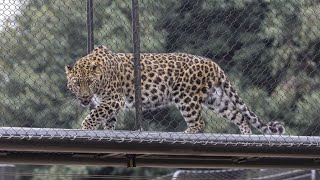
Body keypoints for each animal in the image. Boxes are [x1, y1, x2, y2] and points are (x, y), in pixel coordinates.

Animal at [65, 45, 284, 134]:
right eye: (77, 83)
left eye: (89, 82)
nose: (84, 97)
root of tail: (213, 64)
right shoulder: (109, 103)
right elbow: (107, 120)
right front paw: (106, 130)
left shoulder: (113, 99)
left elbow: (95, 114)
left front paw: (85, 127)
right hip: (216, 99)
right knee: (238, 114)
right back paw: (246, 134)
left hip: (185, 97)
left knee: (199, 122)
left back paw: (188, 132)